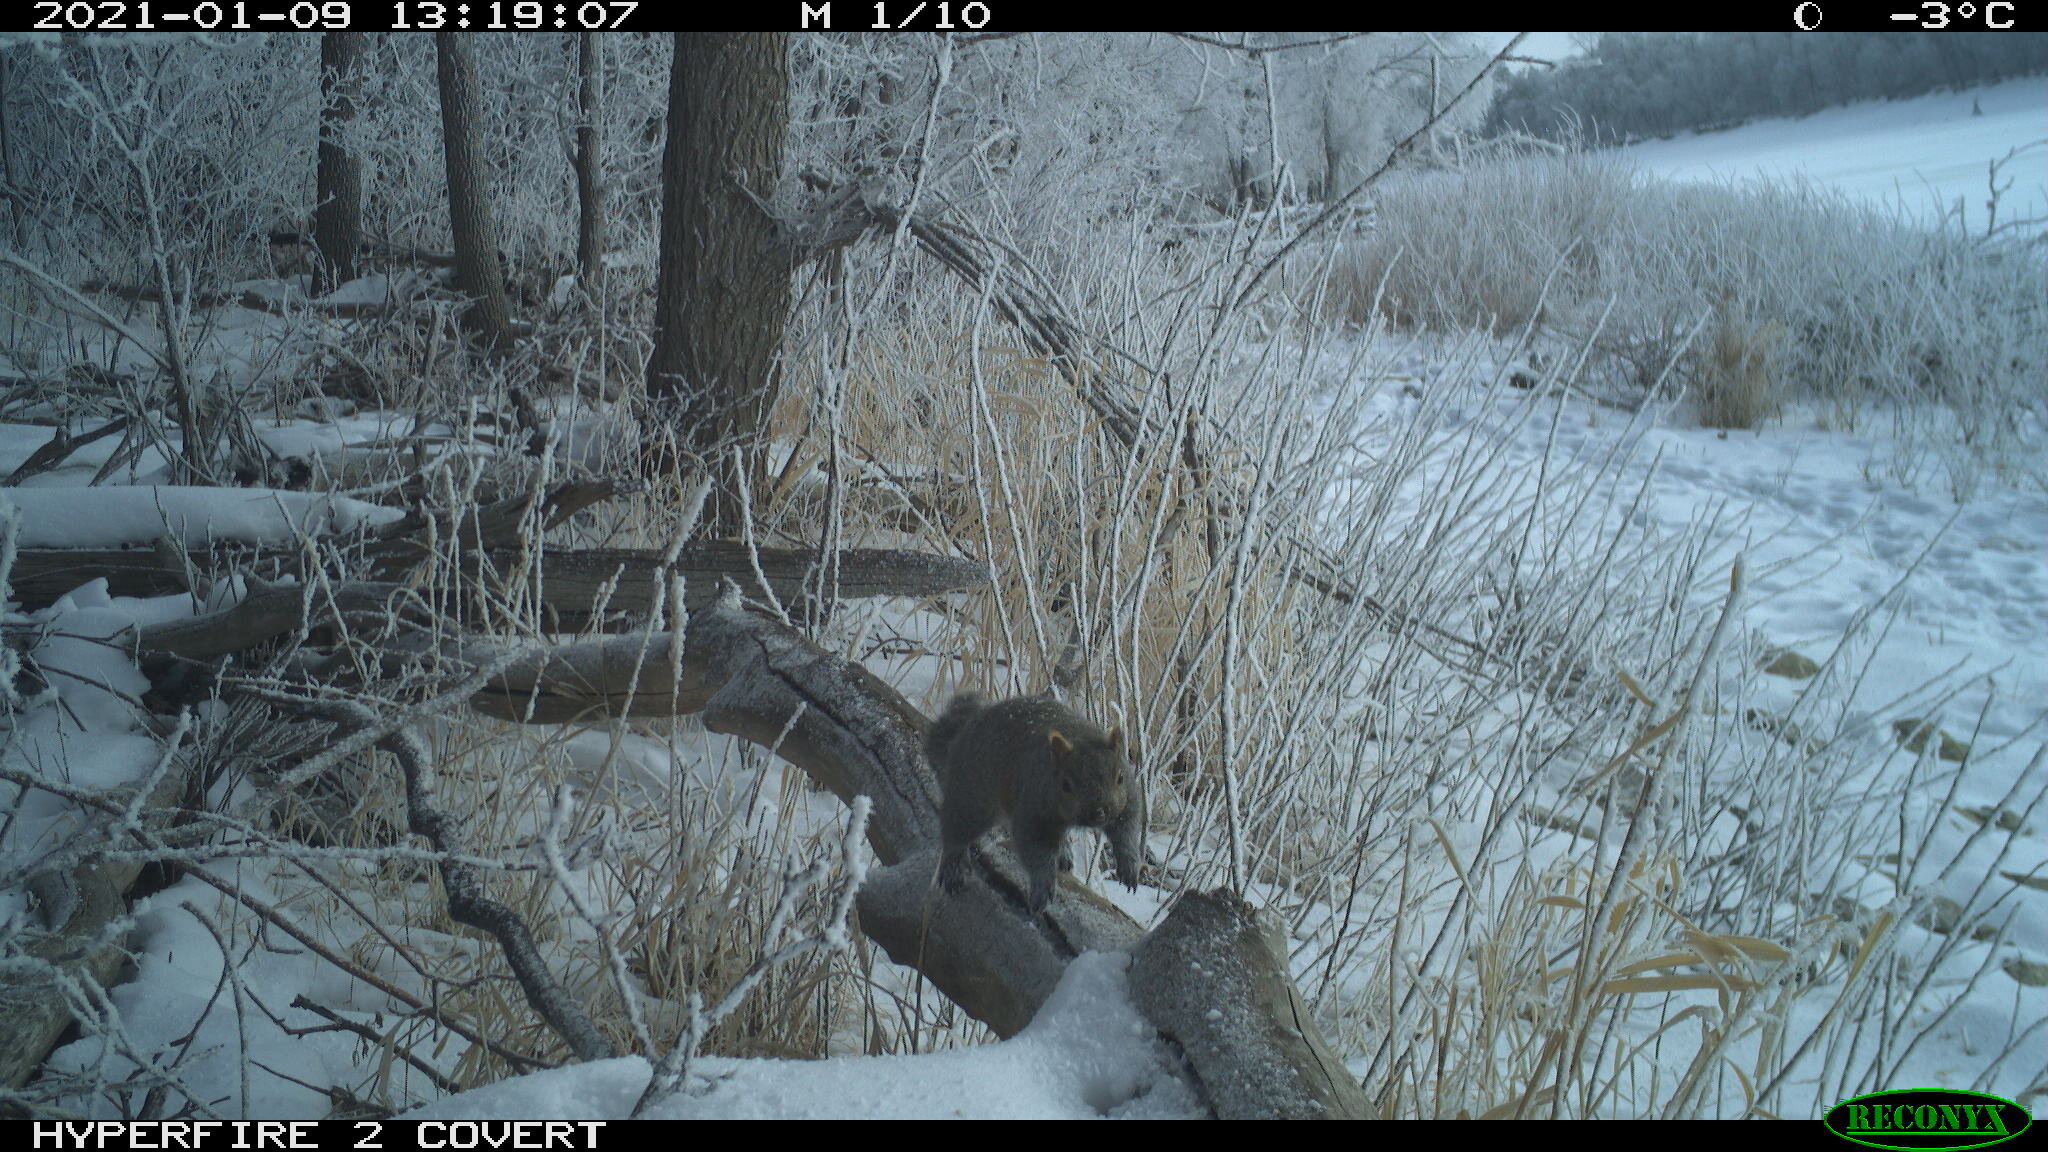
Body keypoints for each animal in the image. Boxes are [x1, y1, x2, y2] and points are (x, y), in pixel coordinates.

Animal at [925, 692, 1144, 911]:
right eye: (1065, 785)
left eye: (1120, 777)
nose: (1099, 813)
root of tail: (967, 727)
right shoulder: (1034, 811)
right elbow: (1036, 852)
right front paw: (1043, 888)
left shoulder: (1127, 801)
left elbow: (1127, 829)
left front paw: (1129, 864)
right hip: (974, 798)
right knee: (955, 831)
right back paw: (953, 867)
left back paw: (1064, 852)